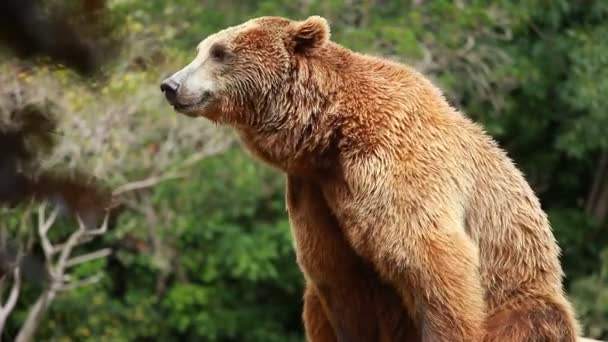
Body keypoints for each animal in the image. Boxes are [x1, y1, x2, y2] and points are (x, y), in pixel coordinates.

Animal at [160, 14, 580, 340]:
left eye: (219, 52)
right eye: (201, 49)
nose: (171, 85)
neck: (330, 133)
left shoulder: (397, 163)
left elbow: (434, 261)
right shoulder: (316, 191)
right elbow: (338, 278)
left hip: (520, 290)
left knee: (529, 318)